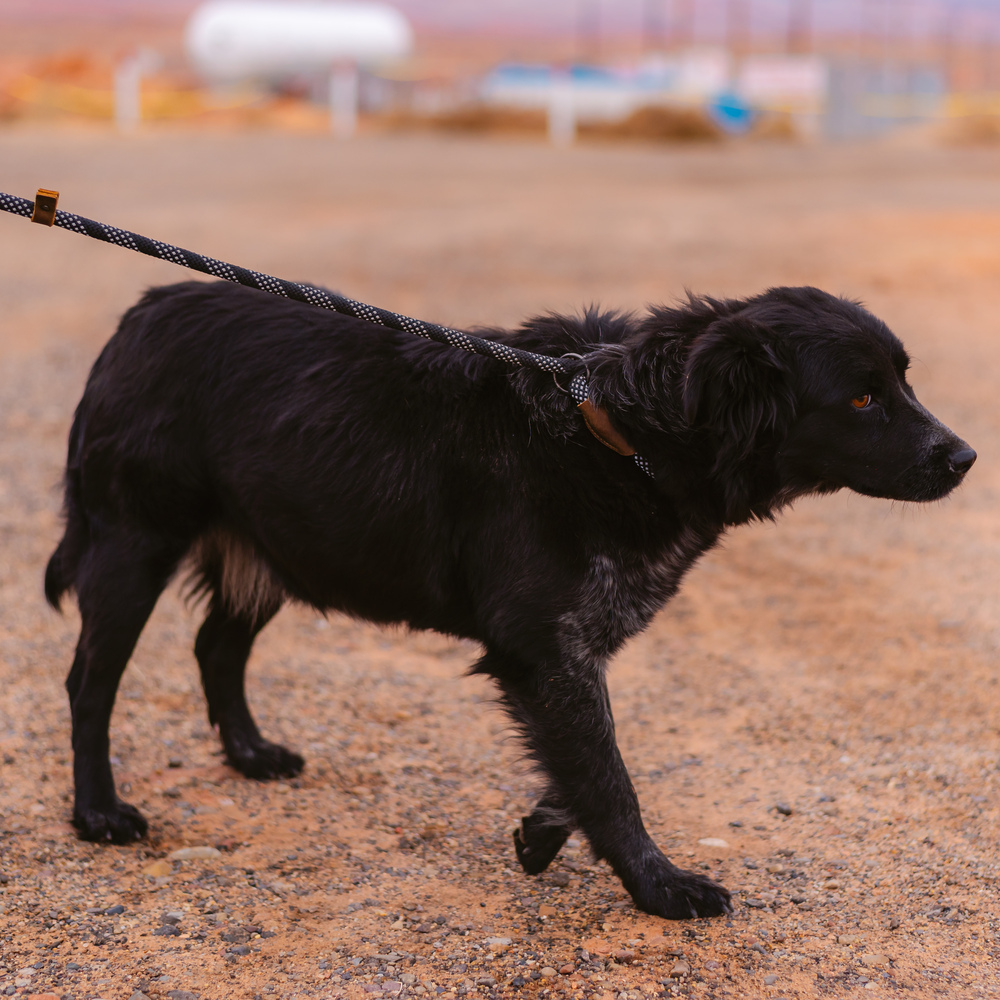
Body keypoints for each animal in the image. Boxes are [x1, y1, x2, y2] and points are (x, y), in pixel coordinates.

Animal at [47, 278, 976, 916]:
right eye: (862, 398)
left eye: (904, 381)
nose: (966, 458)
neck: (619, 431)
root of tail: (143, 310)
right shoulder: (541, 647)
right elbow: (609, 777)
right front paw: (659, 886)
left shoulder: (565, 650)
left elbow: (582, 760)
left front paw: (542, 830)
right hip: (133, 547)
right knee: (89, 684)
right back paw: (97, 812)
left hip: (278, 546)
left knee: (216, 647)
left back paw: (249, 754)